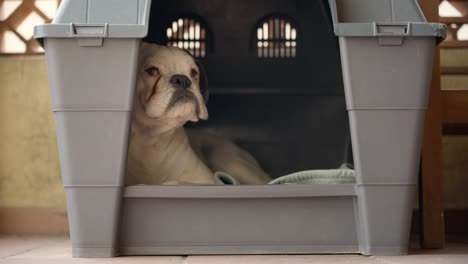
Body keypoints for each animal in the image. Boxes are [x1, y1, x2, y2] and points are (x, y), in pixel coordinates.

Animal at [126, 42, 270, 186]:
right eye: (152, 71)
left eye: (194, 72)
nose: (182, 79)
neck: (152, 139)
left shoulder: (210, 180)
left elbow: (176, 182)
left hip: (232, 164)